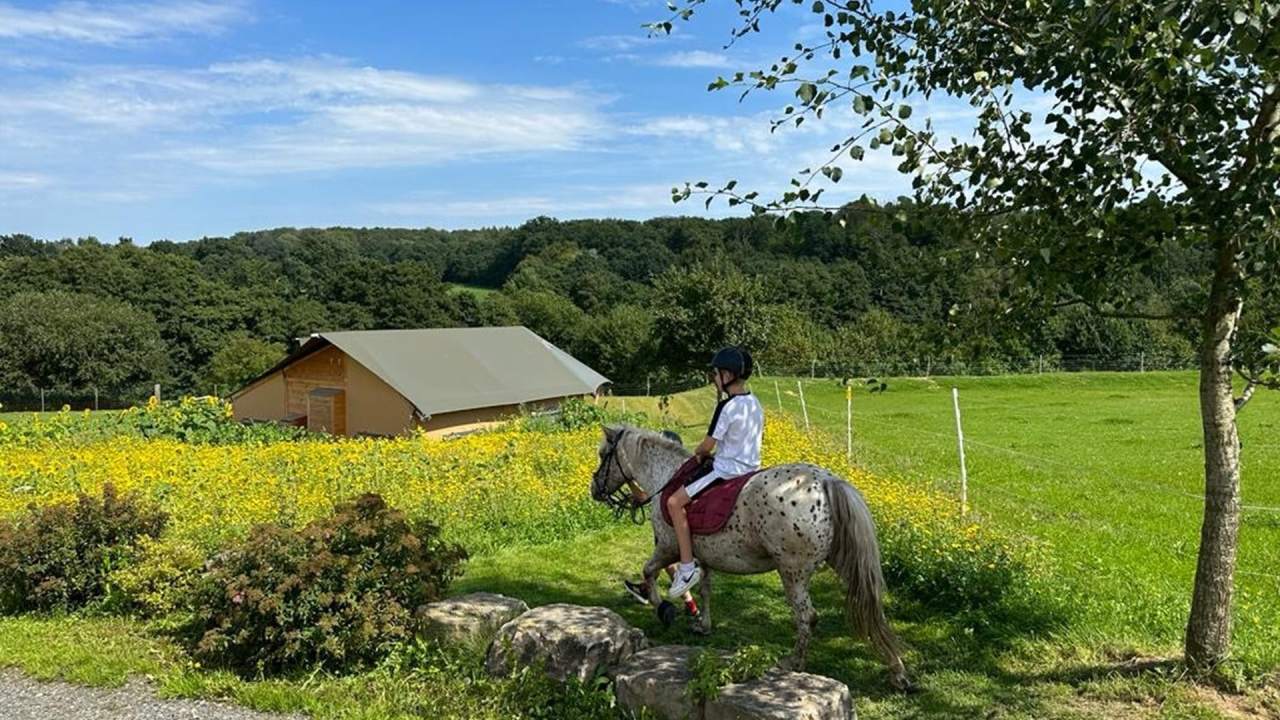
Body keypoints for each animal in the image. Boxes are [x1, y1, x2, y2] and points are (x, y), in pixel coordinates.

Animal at [588, 422, 911, 686]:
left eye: (604, 455)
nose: (594, 489)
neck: (666, 478)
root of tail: (828, 482)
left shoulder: (668, 547)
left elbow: (649, 570)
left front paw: (661, 606)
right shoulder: (702, 558)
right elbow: (705, 589)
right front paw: (702, 624)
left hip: (792, 571)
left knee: (807, 616)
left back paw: (793, 662)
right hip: (842, 562)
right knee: (872, 610)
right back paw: (897, 671)